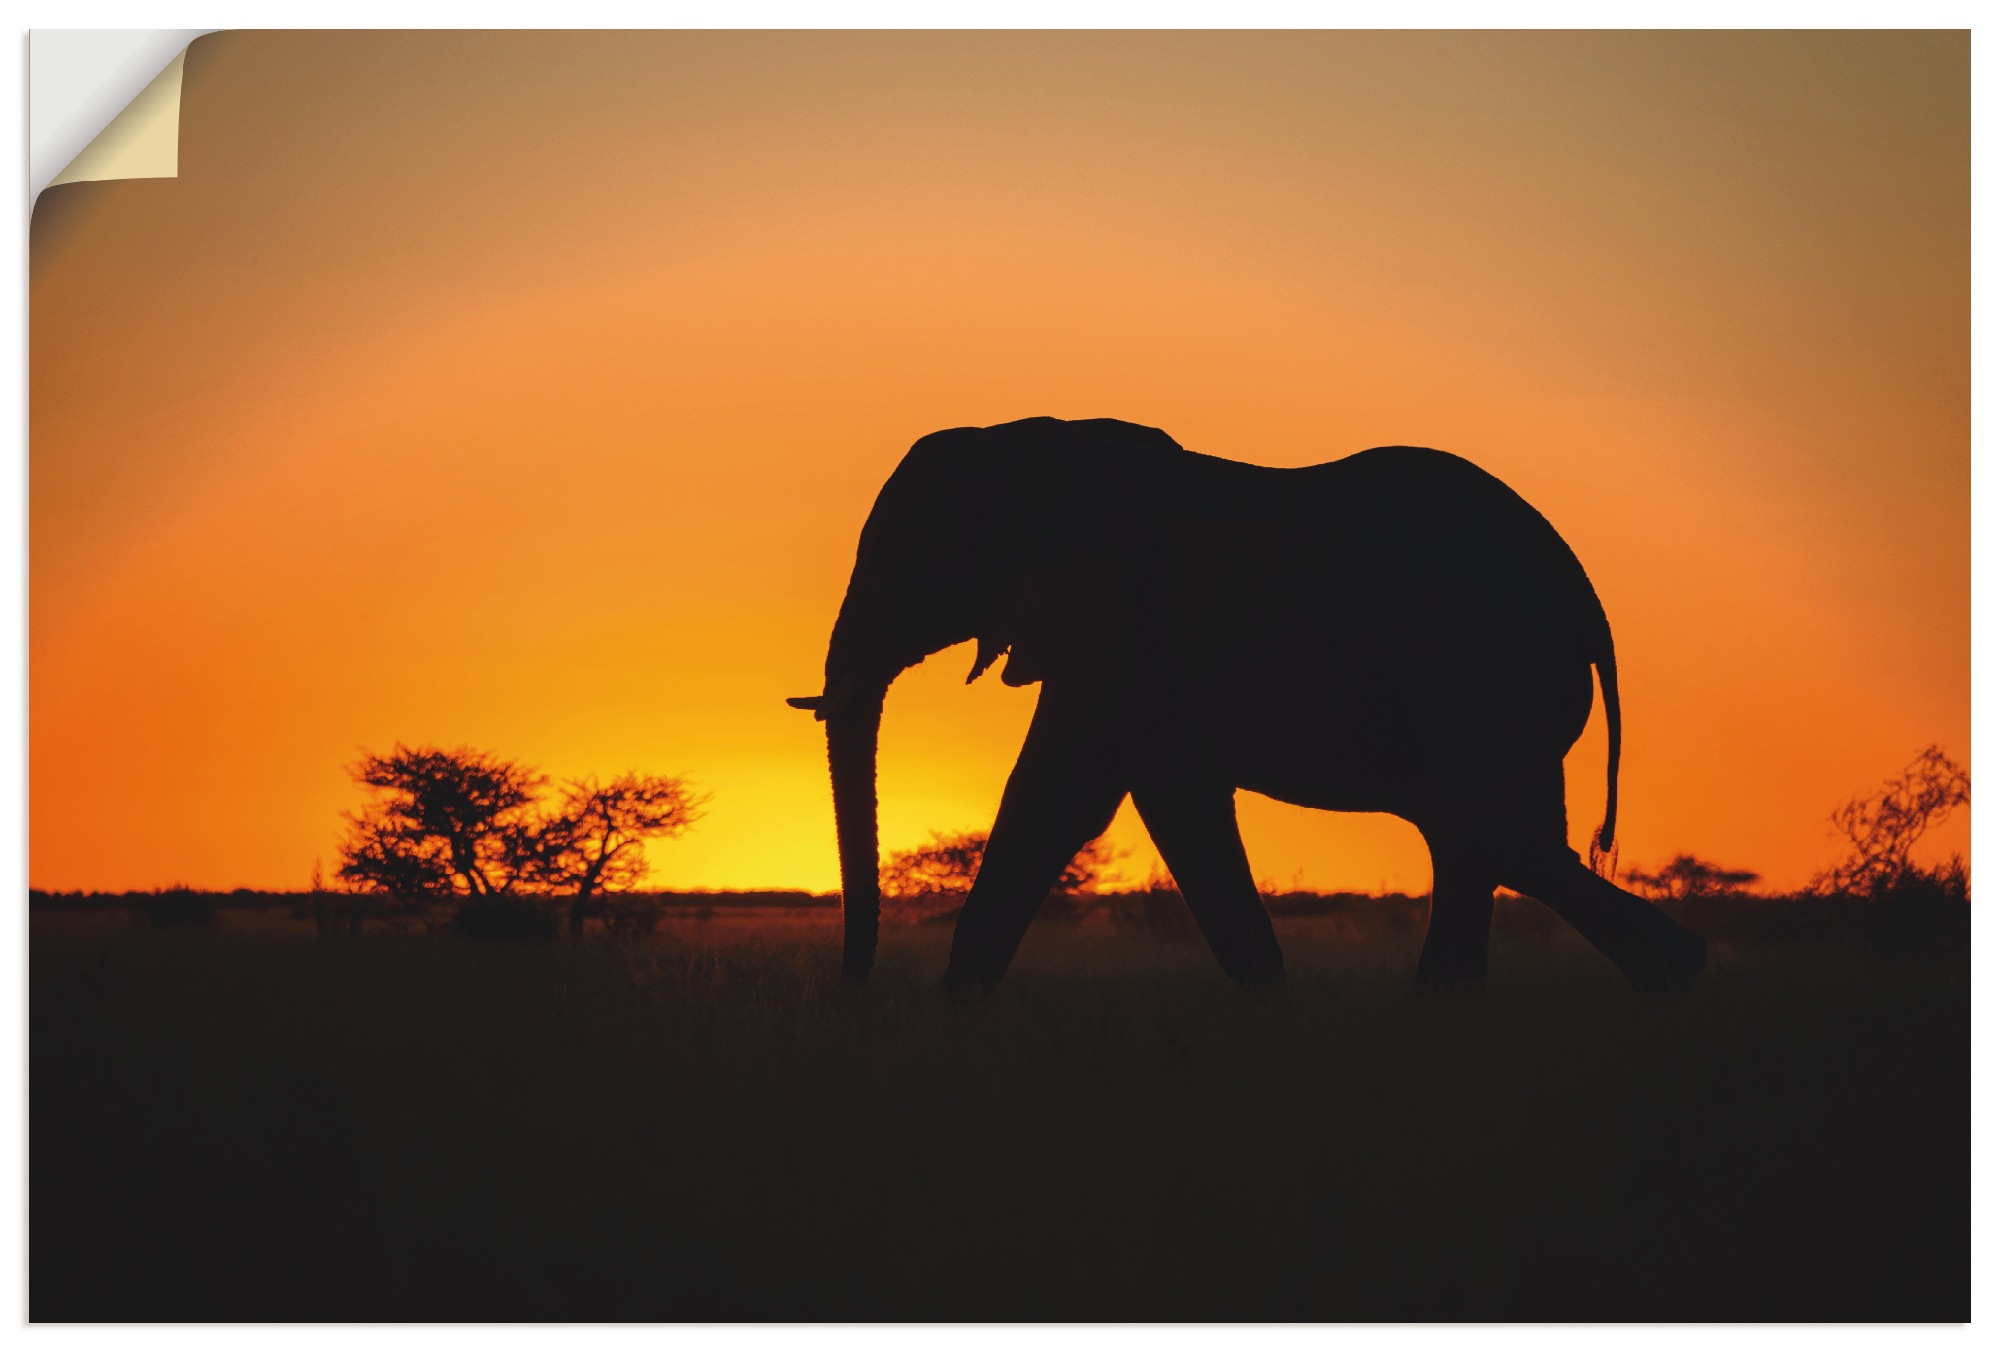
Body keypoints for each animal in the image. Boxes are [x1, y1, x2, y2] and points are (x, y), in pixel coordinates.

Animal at [790, 416, 1707, 994]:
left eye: (911, 564)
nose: (852, 987)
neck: (1028, 442)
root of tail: (1586, 596)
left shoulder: (1128, 620)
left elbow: (1062, 795)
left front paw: (950, 1004)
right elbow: (1168, 800)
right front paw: (1271, 998)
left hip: (1496, 681)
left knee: (1498, 840)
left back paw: (1671, 974)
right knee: (1489, 843)